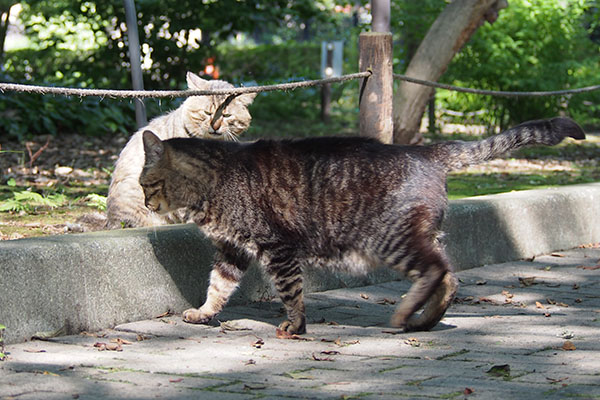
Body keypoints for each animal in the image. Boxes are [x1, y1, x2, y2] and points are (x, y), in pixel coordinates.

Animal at [139, 117, 580, 332]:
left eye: (147, 183)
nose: (145, 202)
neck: (212, 187)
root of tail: (427, 151)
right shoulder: (232, 251)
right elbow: (218, 286)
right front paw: (203, 313)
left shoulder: (277, 247)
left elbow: (290, 291)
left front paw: (295, 326)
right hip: (420, 237)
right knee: (451, 277)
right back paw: (424, 321)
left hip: (391, 240)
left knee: (436, 271)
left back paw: (404, 316)